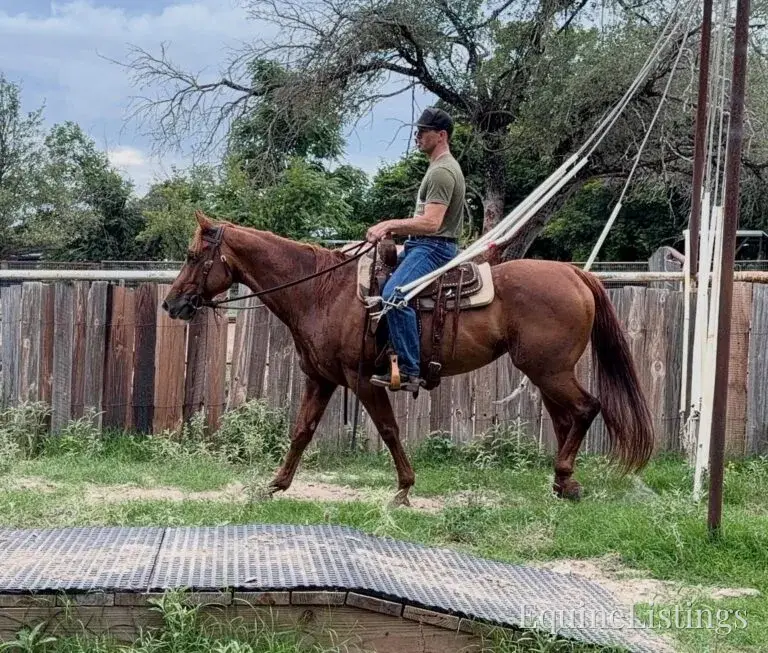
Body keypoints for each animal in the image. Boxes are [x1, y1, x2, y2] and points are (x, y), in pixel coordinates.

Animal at [162, 210, 654, 506]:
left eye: (192, 255)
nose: (172, 304)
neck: (322, 291)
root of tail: (575, 274)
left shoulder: (362, 380)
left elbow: (388, 430)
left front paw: (403, 489)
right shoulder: (321, 378)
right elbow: (302, 431)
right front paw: (275, 484)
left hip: (548, 370)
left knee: (586, 409)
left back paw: (565, 477)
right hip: (547, 372)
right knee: (566, 417)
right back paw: (563, 483)